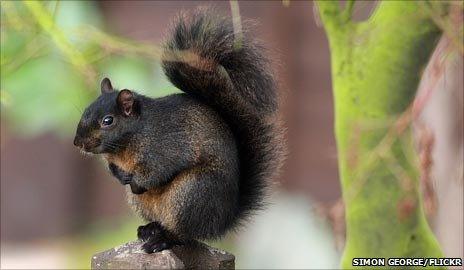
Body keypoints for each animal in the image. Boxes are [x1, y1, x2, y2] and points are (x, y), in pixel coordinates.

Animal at [74, 8, 284, 253]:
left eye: (108, 120)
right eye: (85, 110)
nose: (78, 142)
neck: (126, 143)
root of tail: (221, 222)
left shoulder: (164, 148)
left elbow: (156, 172)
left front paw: (136, 182)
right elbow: (115, 170)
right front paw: (121, 175)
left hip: (191, 193)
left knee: (183, 235)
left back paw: (162, 239)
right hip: (147, 204)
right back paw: (150, 229)